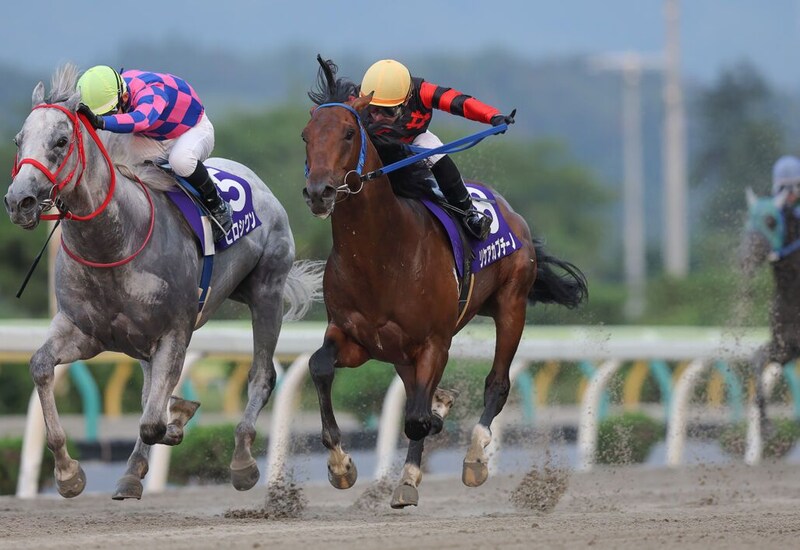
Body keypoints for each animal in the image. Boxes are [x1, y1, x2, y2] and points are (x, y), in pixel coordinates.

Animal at [4, 64, 322, 500]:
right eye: (19, 140)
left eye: (61, 140)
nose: (19, 201)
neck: (113, 242)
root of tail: (257, 182)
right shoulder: (83, 330)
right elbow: (40, 367)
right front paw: (68, 474)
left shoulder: (174, 332)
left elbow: (153, 421)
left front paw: (175, 420)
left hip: (266, 292)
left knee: (261, 375)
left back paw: (241, 461)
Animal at [301, 58, 588, 508]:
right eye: (306, 136)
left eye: (349, 133)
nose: (319, 192)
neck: (381, 256)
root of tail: (509, 211)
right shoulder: (355, 338)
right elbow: (319, 367)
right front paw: (340, 465)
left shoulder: (434, 342)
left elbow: (418, 417)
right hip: (401, 353)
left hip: (512, 305)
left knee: (496, 384)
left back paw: (473, 458)